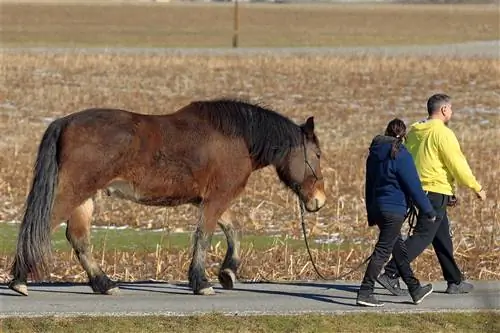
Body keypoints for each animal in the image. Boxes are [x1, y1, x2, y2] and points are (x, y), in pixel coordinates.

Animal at [10, 98, 328, 296]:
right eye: (317, 154)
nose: (319, 200)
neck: (238, 138)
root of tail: (65, 123)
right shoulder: (217, 199)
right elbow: (204, 236)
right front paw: (201, 282)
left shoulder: (211, 200)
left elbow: (233, 231)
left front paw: (228, 272)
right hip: (73, 192)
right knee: (40, 228)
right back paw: (19, 280)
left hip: (84, 199)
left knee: (78, 239)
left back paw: (104, 284)